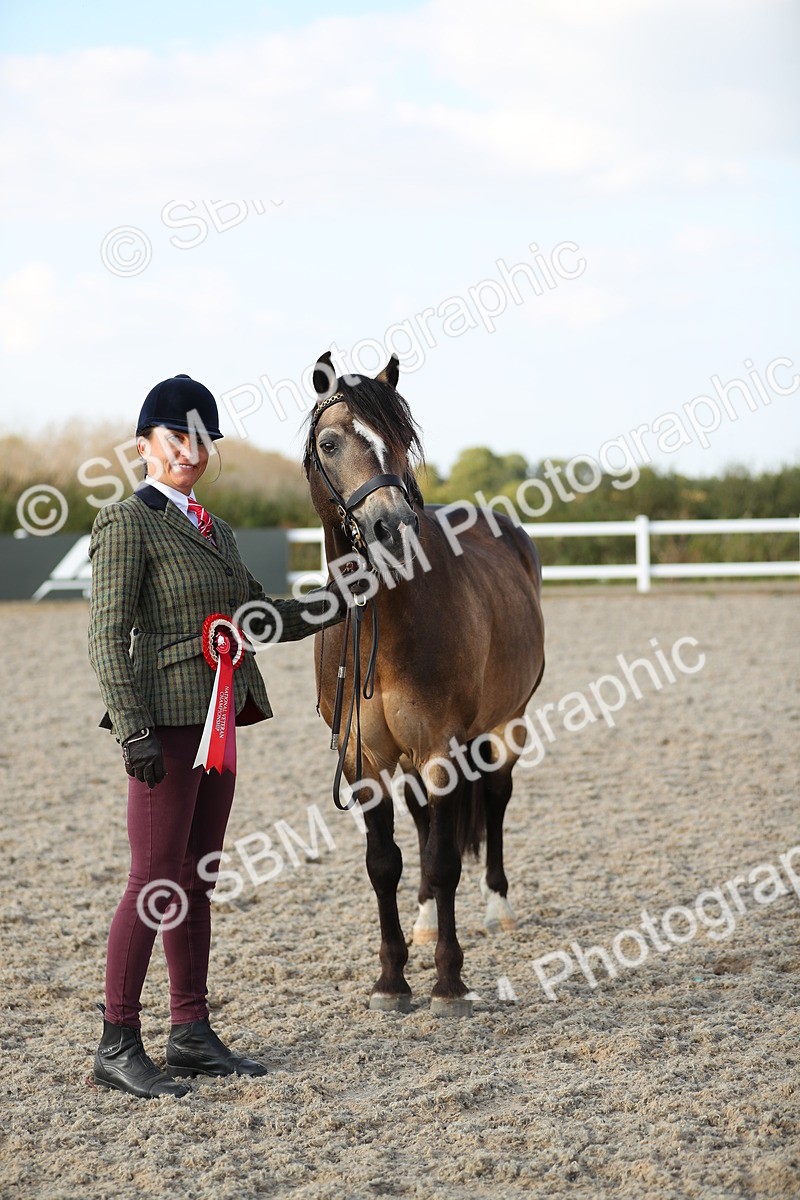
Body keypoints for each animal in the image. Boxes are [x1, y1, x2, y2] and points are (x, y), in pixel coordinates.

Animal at [303, 351, 545, 1017]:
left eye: (401, 439)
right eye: (330, 442)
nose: (392, 527)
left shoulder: (441, 747)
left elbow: (442, 861)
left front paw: (448, 984)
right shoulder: (362, 759)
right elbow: (385, 862)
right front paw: (392, 979)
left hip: (505, 725)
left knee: (495, 801)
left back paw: (497, 909)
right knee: (420, 823)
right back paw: (426, 921)